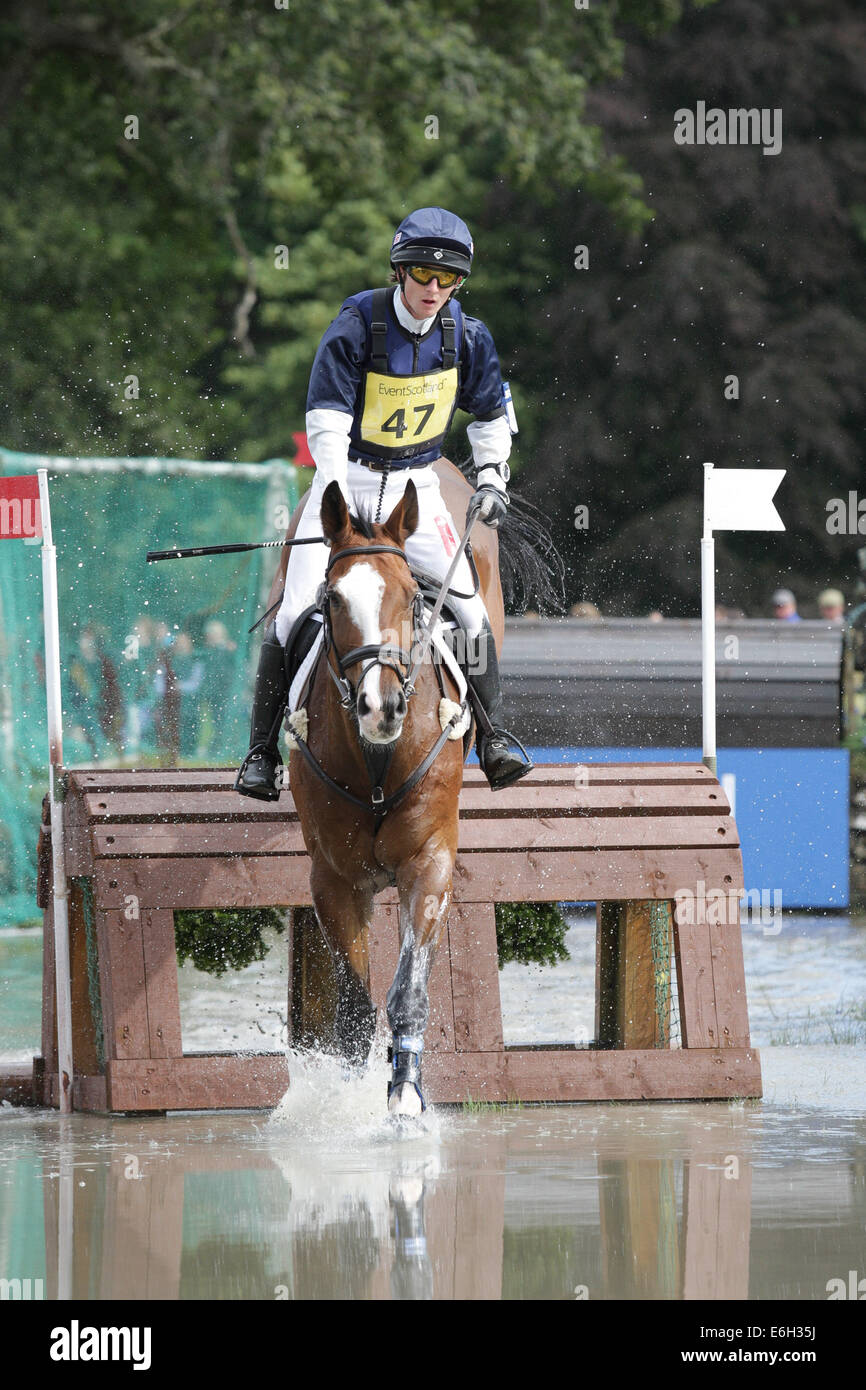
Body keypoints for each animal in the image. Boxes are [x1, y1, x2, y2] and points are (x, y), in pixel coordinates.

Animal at [265, 461, 508, 1112]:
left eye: (411, 597)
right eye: (332, 598)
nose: (383, 707)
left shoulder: (427, 863)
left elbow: (408, 991)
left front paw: (405, 1097)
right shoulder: (335, 880)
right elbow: (353, 1010)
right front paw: (345, 1111)